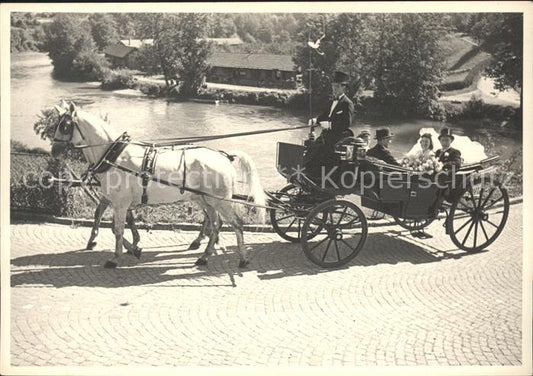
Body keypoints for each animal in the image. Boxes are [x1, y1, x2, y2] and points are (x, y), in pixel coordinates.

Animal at [50, 101, 266, 268]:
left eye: (65, 126)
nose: (54, 150)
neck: (115, 156)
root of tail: (224, 157)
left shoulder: (120, 203)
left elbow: (117, 230)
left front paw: (116, 257)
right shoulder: (118, 201)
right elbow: (115, 224)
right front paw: (134, 248)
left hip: (220, 201)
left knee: (236, 224)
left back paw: (242, 259)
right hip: (207, 200)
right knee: (215, 225)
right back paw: (204, 256)